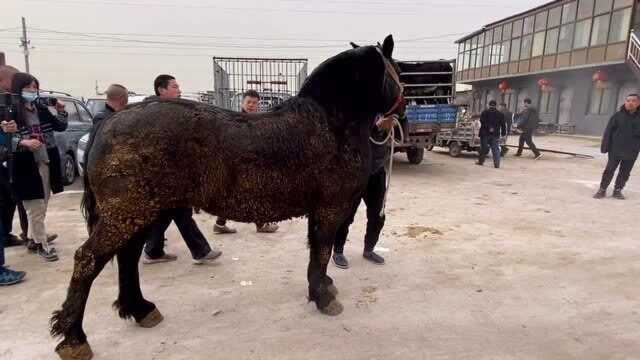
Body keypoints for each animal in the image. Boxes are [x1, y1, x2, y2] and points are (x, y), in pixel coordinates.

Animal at [52, 35, 404, 358]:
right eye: (397, 70)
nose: (403, 108)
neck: (330, 123)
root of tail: (110, 121)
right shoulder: (330, 209)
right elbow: (321, 252)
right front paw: (324, 297)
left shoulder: (320, 211)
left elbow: (318, 252)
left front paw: (324, 286)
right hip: (127, 215)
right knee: (88, 259)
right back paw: (74, 339)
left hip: (142, 213)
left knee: (127, 257)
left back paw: (141, 310)